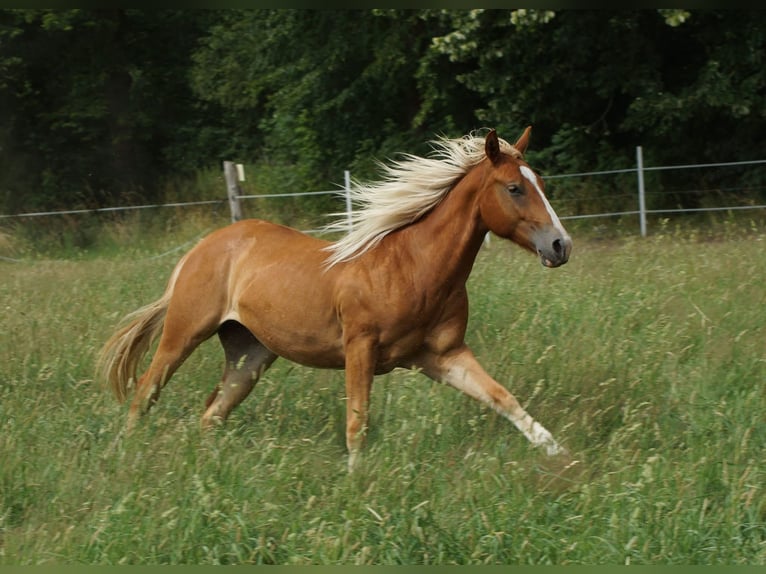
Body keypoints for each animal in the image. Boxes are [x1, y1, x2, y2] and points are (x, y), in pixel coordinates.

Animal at [96, 127, 572, 471]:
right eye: (514, 188)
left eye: (541, 183)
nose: (560, 245)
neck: (412, 268)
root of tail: (203, 247)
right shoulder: (359, 348)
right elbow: (357, 422)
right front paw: (356, 482)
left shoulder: (443, 356)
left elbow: (503, 398)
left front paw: (560, 454)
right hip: (185, 333)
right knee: (145, 391)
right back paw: (126, 457)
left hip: (250, 354)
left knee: (212, 413)